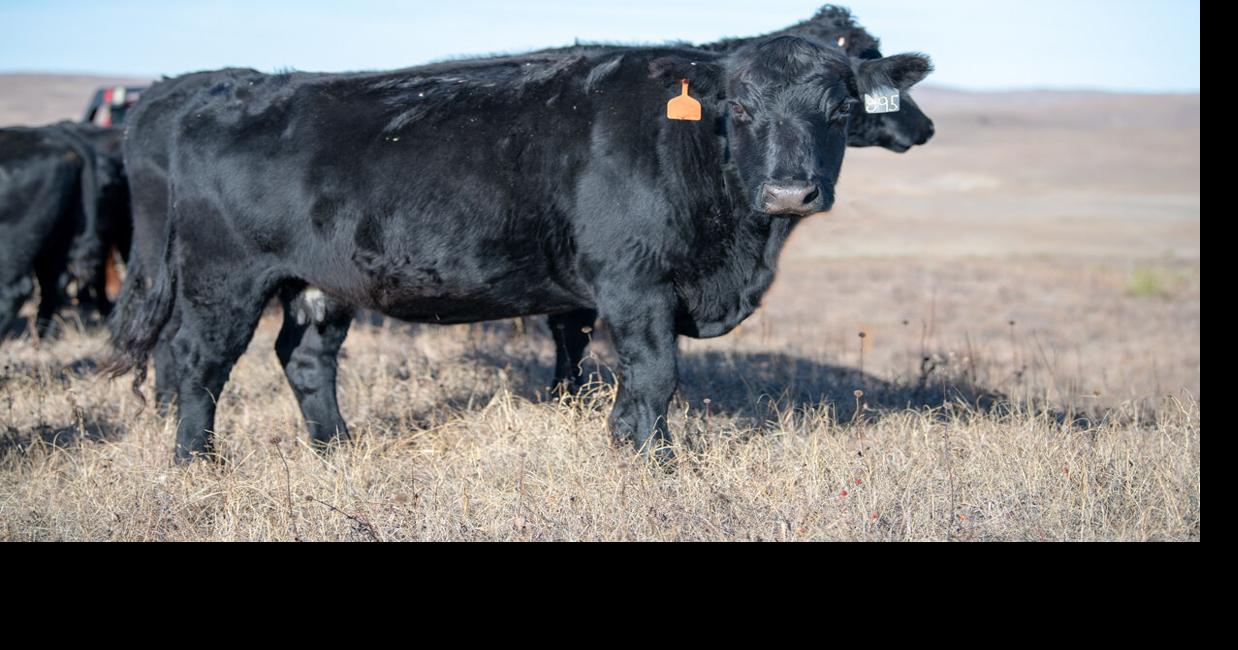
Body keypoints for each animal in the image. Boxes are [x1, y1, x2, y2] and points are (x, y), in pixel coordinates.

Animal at [107, 35, 932, 462]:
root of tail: (216, 91)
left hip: (323, 281)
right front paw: (651, 459)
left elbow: (631, 379)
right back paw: (196, 459)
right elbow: (655, 375)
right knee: (199, 361)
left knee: (306, 359)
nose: (791, 190)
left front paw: (625, 443)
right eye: (741, 106)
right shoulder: (634, 284)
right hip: (223, 276)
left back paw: (337, 446)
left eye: (841, 107)